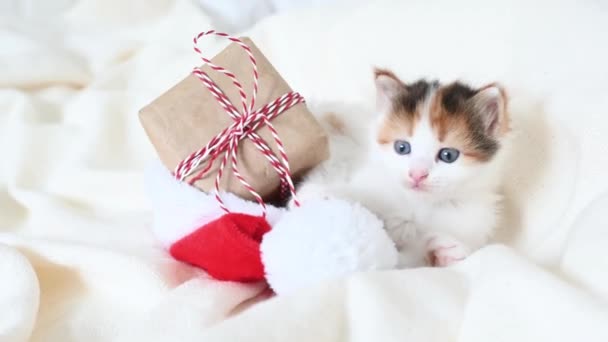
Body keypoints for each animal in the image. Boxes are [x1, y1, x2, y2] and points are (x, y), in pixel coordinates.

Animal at [292, 68, 510, 268]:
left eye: (448, 155)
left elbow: (399, 261)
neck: (418, 206)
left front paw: (445, 252)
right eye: (402, 147)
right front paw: (320, 194)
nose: (417, 174)